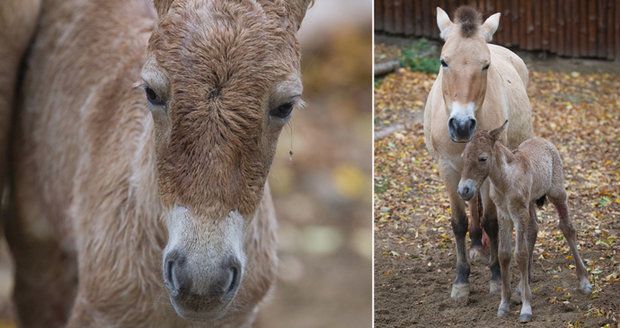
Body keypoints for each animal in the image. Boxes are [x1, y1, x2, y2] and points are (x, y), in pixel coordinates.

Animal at [424, 5, 536, 302]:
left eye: (485, 65)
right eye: (443, 62)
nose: (462, 125)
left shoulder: (489, 172)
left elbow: (491, 221)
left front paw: (496, 277)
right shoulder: (448, 169)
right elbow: (459, 221)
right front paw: (461, 281)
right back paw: (476, 247)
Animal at [458, 121, 592, 322]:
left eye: (482, 158)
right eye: (463, 157)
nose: (463, 190)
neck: (505, 181)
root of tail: (543, 140)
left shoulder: (519, 214)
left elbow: (520, 254)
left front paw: (526, 309)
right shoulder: (504, 215)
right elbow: (504, 254)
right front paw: (504, 304)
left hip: (557, 192)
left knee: (567, 228)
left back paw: (584, 281)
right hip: (529, 203)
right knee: (533, 229)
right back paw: (522, 287)